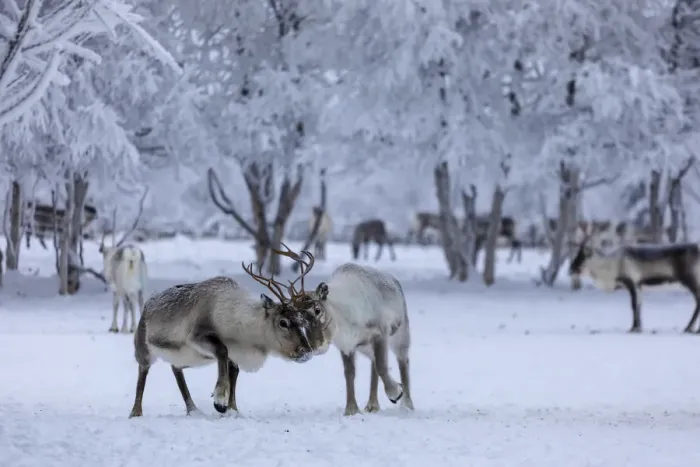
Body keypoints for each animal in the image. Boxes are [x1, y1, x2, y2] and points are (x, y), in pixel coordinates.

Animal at [100, 190, 149, 333]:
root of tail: (132, 254)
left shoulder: (117, 290)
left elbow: (117, 305)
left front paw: (115, 327)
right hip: (141, 287)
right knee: (141, 302)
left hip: (126, 287)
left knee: (130, 303)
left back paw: (130, 328)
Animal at [128, 245, 329, 418]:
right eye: (283, 322)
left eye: (302, 319)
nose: (306, 352)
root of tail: (147, 303)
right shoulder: (198, 336)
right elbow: (222, 352)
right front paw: (219, 400)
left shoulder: (236, 353)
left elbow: (234, 372)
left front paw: (233, 409)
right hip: (144, 347)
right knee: (142, 371)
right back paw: (136, 412)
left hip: (187, 358)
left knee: (176, 369)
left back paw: (193, 409)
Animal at [283, 253, 413, 416]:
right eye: (297, 318)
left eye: (317, 310)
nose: (315, 346)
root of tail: (395, 281)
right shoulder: (347, 345)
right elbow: (349, 373)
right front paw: (351, 410)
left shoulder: (380, 332)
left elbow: (382, 367)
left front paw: (396, 393)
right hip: (365, 347)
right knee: (374, 363)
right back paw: (372, 405)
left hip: (400, 333)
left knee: (403, 361)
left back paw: (407, 405)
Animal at [569, 226, 700, 333]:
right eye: (577, 255)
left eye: (583, 256)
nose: (570, 270)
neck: (611, 266)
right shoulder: (639, 285)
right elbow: (639, 306)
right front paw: (639, 327)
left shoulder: (631, 282)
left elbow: (633, 305)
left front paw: (634, 328)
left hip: (690, 279)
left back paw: (689, 328)